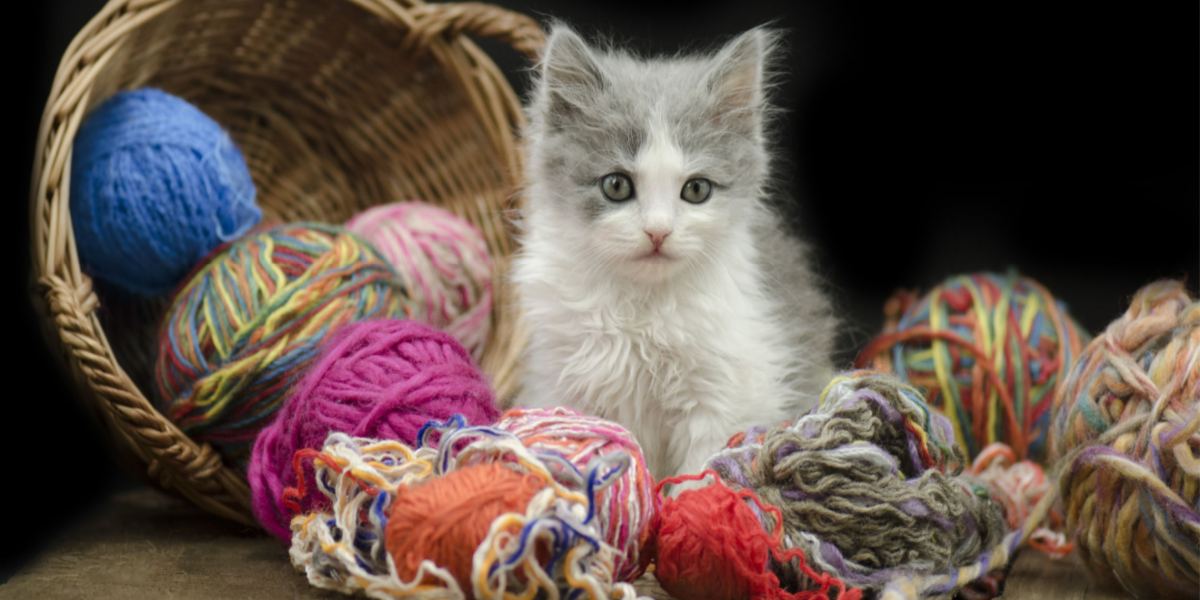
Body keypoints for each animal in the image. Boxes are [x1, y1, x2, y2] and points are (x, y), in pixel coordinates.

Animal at [513, 23, 835, 477]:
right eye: (616, 185)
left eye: (696, 189)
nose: (658, 232)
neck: (643, 311)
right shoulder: (562, 376)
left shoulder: (725, 391)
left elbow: (702, 468)